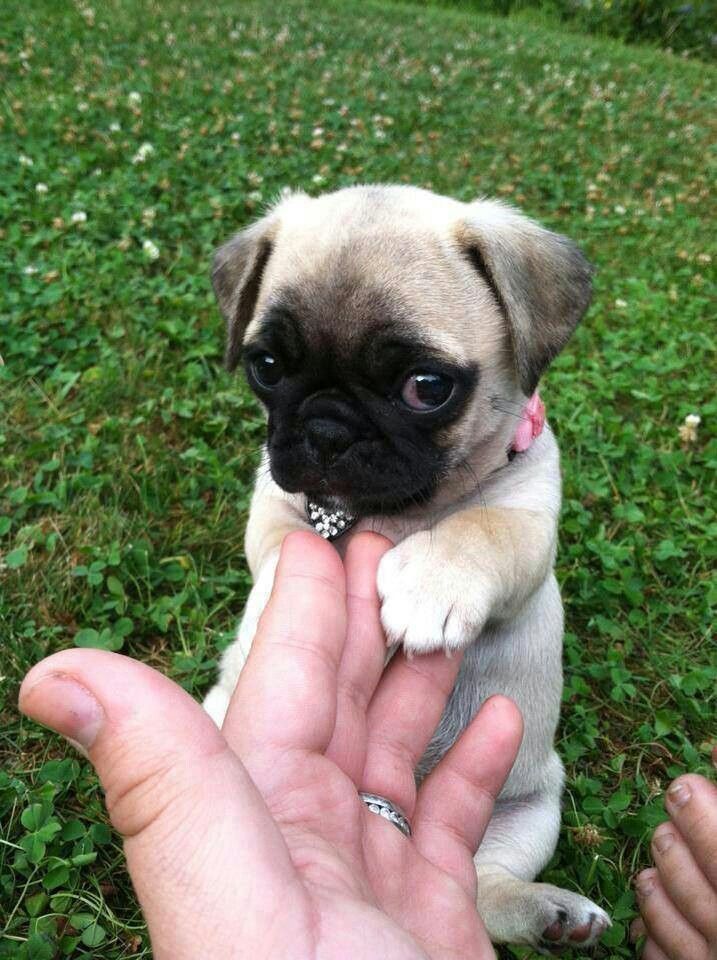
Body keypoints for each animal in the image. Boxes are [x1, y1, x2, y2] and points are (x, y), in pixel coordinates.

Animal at [201, 184, 608, 948]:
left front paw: (429, 581)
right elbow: (286, 547)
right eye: (266, 368)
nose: (325, 429)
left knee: (480, 885)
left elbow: (480, 528)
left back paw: (547, 913)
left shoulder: (528, 520)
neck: (396, 512)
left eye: (426, 387)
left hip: (531, 809)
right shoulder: (273, 499)